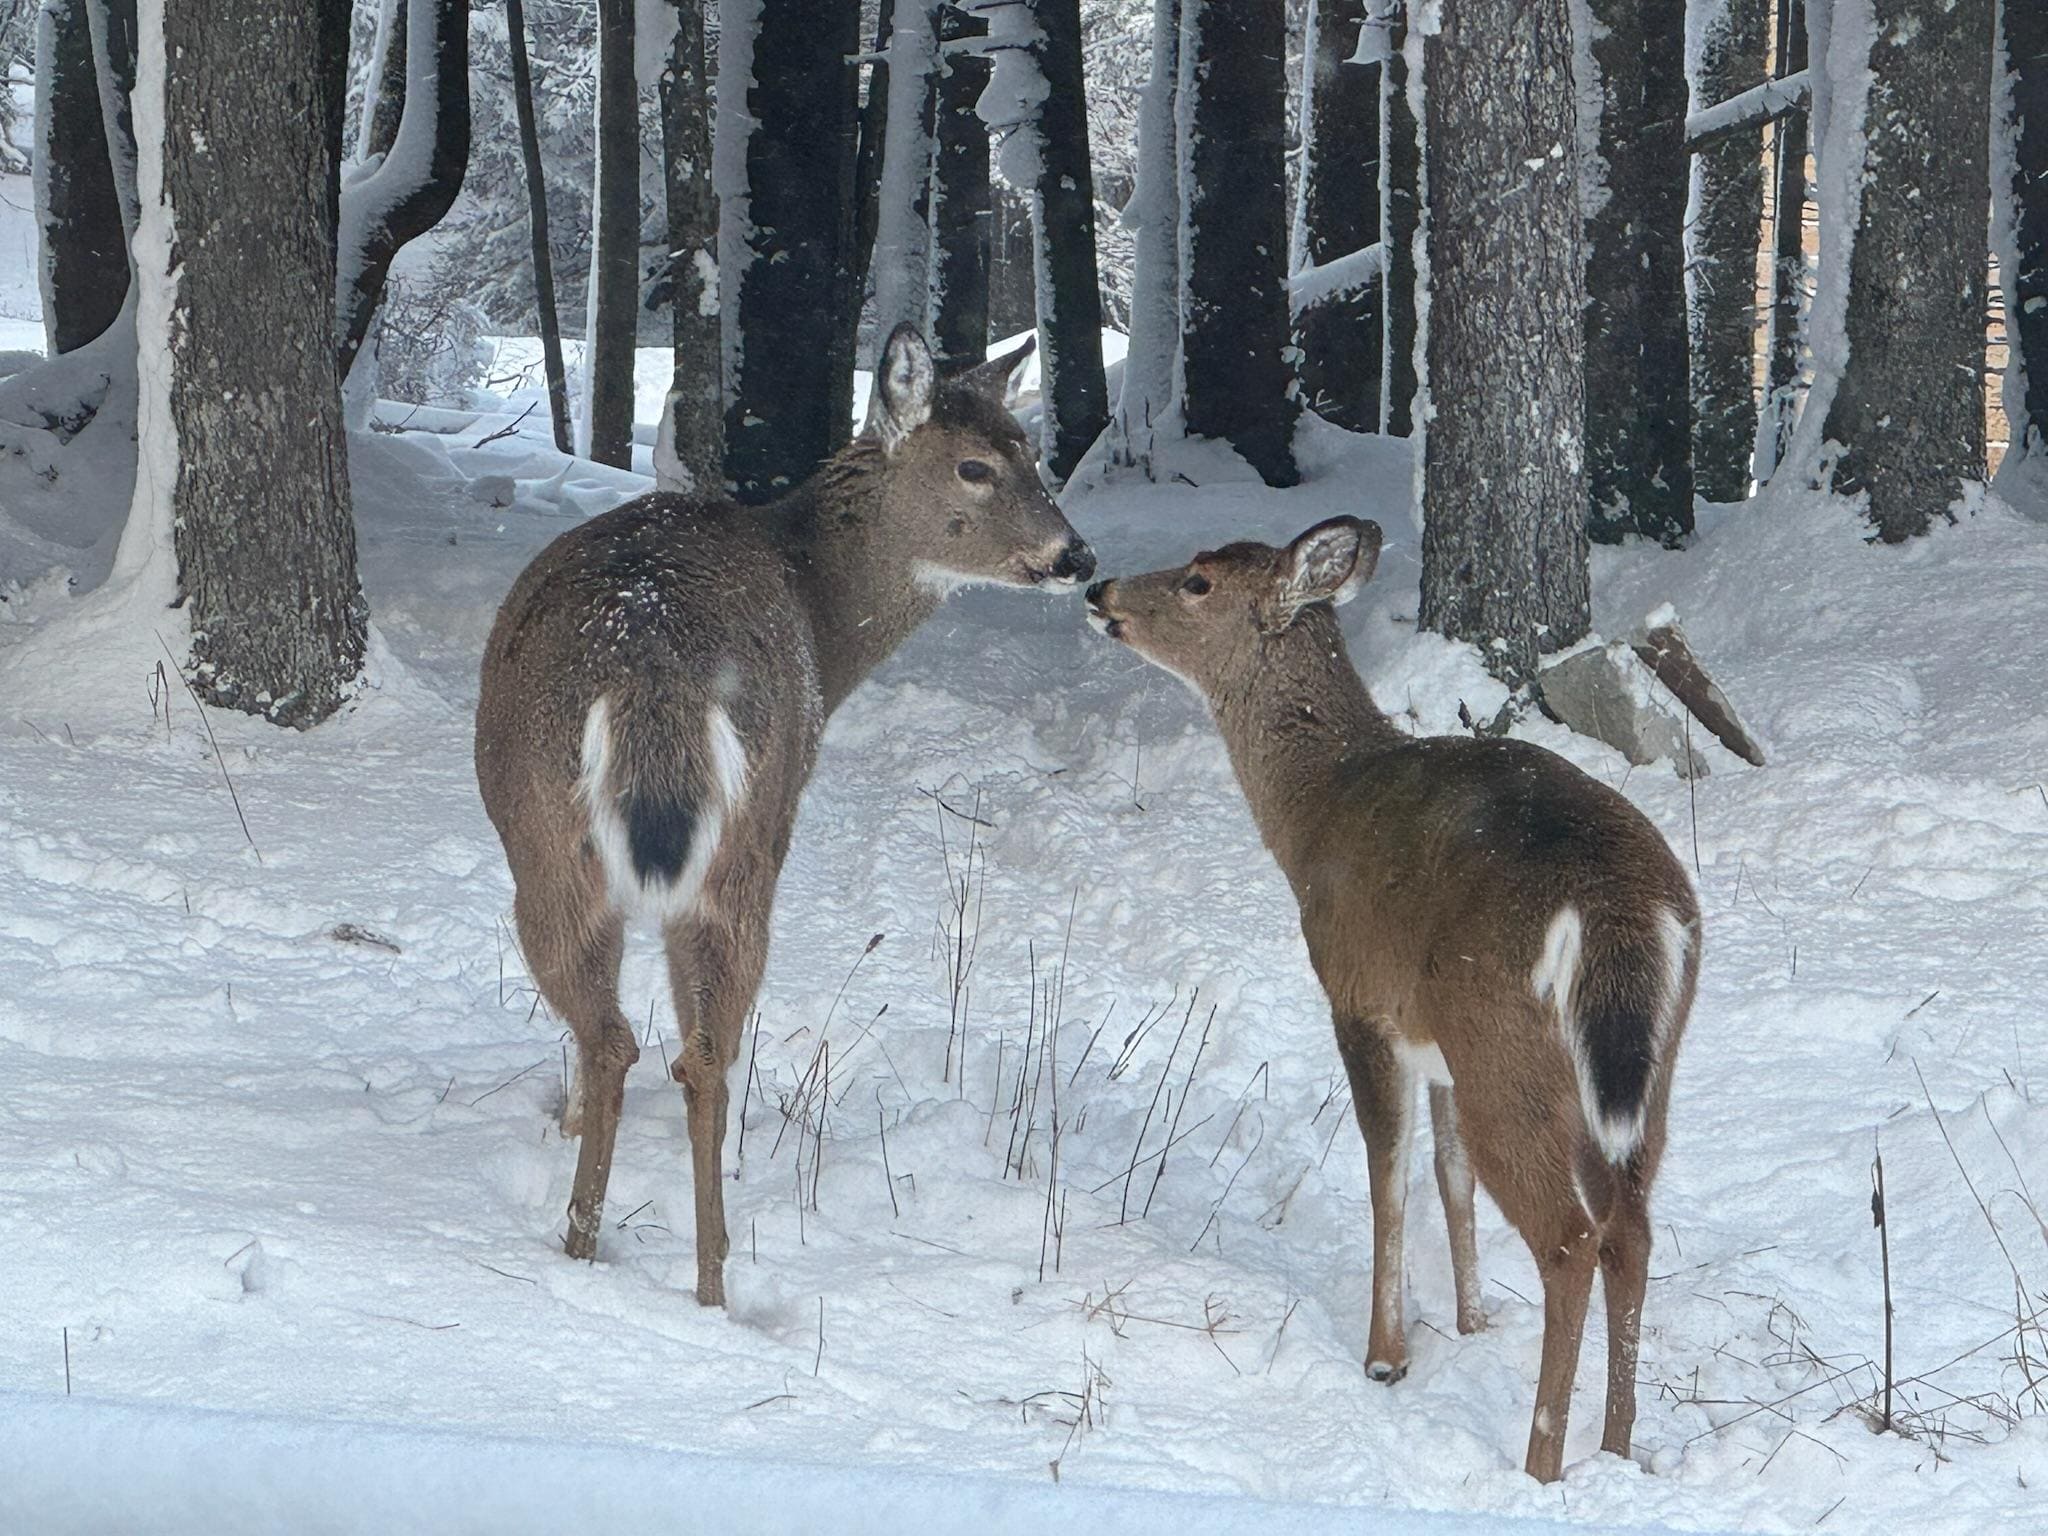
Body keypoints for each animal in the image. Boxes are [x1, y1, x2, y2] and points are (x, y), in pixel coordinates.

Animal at [474, 325, 1093, 1307]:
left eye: (1031, 451)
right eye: (978, 465)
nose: (1077, 556)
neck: (821, 610)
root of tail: (654, 673)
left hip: (565, 839)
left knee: (621, 1040)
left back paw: (592, 1251)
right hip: (728, 844)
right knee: (695, 1053)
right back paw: (707, 1284)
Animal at [1084, 517, 1700, 1483]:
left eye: (1198, 581)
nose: (1099, 588)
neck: (1314, 812)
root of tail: (1623, 911)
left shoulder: (1359, 997)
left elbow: (1387, 1169)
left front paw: (1387, 1356)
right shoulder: (1434, 1041)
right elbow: (1448, 1174)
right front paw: (1472, 1321)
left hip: (1507, 1048)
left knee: (1571, 1239)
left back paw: (1542, 1460)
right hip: (1639, 1070)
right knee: (1629, 1227)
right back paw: (1617, 1448)